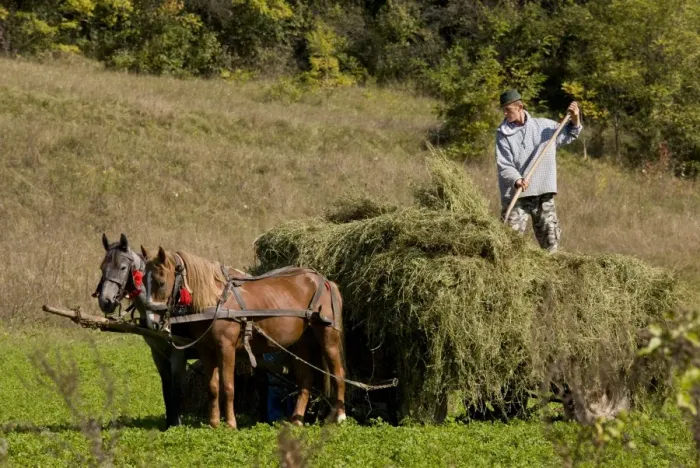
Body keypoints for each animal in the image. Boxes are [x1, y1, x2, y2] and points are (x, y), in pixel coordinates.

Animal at [140, 245, 347, 428]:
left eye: (161, 282)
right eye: (142, 281)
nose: (152, 322)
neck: (216, 300)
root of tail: (324, 281)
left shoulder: (226, 347)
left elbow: (228, 386)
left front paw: (231, 424)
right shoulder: (206, 350)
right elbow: (212, 387)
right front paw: (213, 424)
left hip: (328, 338)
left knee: (338, 374)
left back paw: (339, 416)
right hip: (300, 344)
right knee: (305, 380)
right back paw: (296, 421)